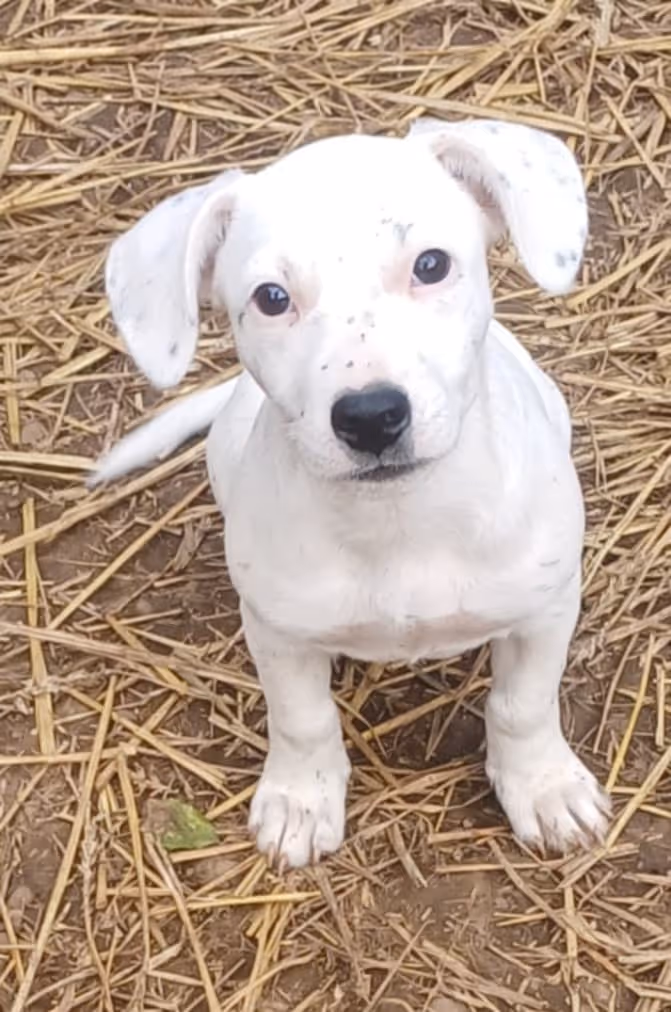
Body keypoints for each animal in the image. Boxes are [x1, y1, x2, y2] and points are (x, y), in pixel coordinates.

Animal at [91, 117, 610, 869]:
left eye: (431, 264)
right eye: (271, 298)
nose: (370, 417)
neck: (400, 520)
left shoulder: (544, 609)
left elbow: (523, 706)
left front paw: (543, 788)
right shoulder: (276, 631)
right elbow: (301, 719)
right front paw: (300, 801)